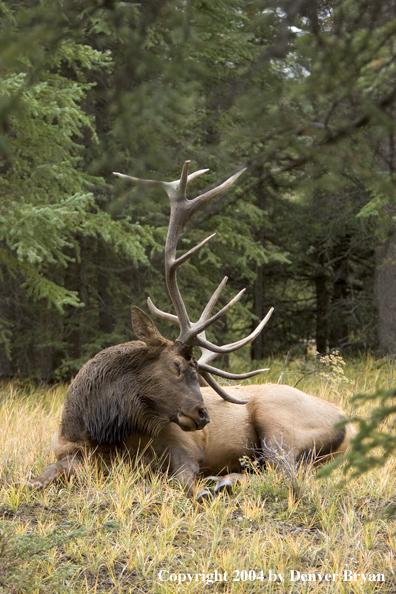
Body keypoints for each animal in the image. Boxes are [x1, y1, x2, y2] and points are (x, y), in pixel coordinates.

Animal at [28, 162, 356, 500]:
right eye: (175, 365)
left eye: (195, 370)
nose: (203, 415)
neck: (100, 428)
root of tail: (351, 426)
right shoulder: (67, 450)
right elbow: (45, 475)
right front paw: (35, 481)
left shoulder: (183, 445)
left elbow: (182, 480)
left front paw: (204, 487)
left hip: (278, 423)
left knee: (286, 474)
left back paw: (224, 481)